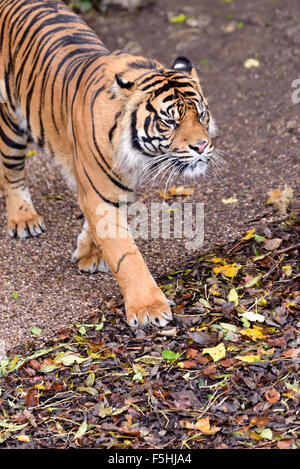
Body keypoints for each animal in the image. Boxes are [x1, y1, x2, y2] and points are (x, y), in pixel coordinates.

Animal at [0, 0, 217, 328]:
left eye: (201, 114)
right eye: (169, 121)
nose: (202, 146)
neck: (138, 154)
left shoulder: (115, 187)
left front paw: (90, 253)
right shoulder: (100, 193)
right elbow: (126, 255)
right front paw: (149, 308)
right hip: (10, 121)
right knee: (11, 171)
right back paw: (23, 219)